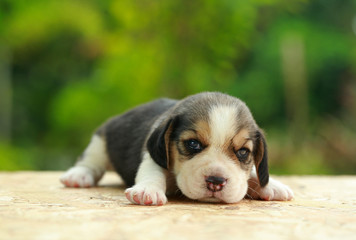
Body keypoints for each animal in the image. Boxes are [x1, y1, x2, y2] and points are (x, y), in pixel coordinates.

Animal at [61, 93, 294, 205]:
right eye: (193, 144)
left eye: (243, 152)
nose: (216, 182)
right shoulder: (152, 158)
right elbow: (152, 173)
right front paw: (147, 191)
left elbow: (254, 172)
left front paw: (271, 185)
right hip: (100, 141)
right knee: (90, 162)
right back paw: (78, 176)